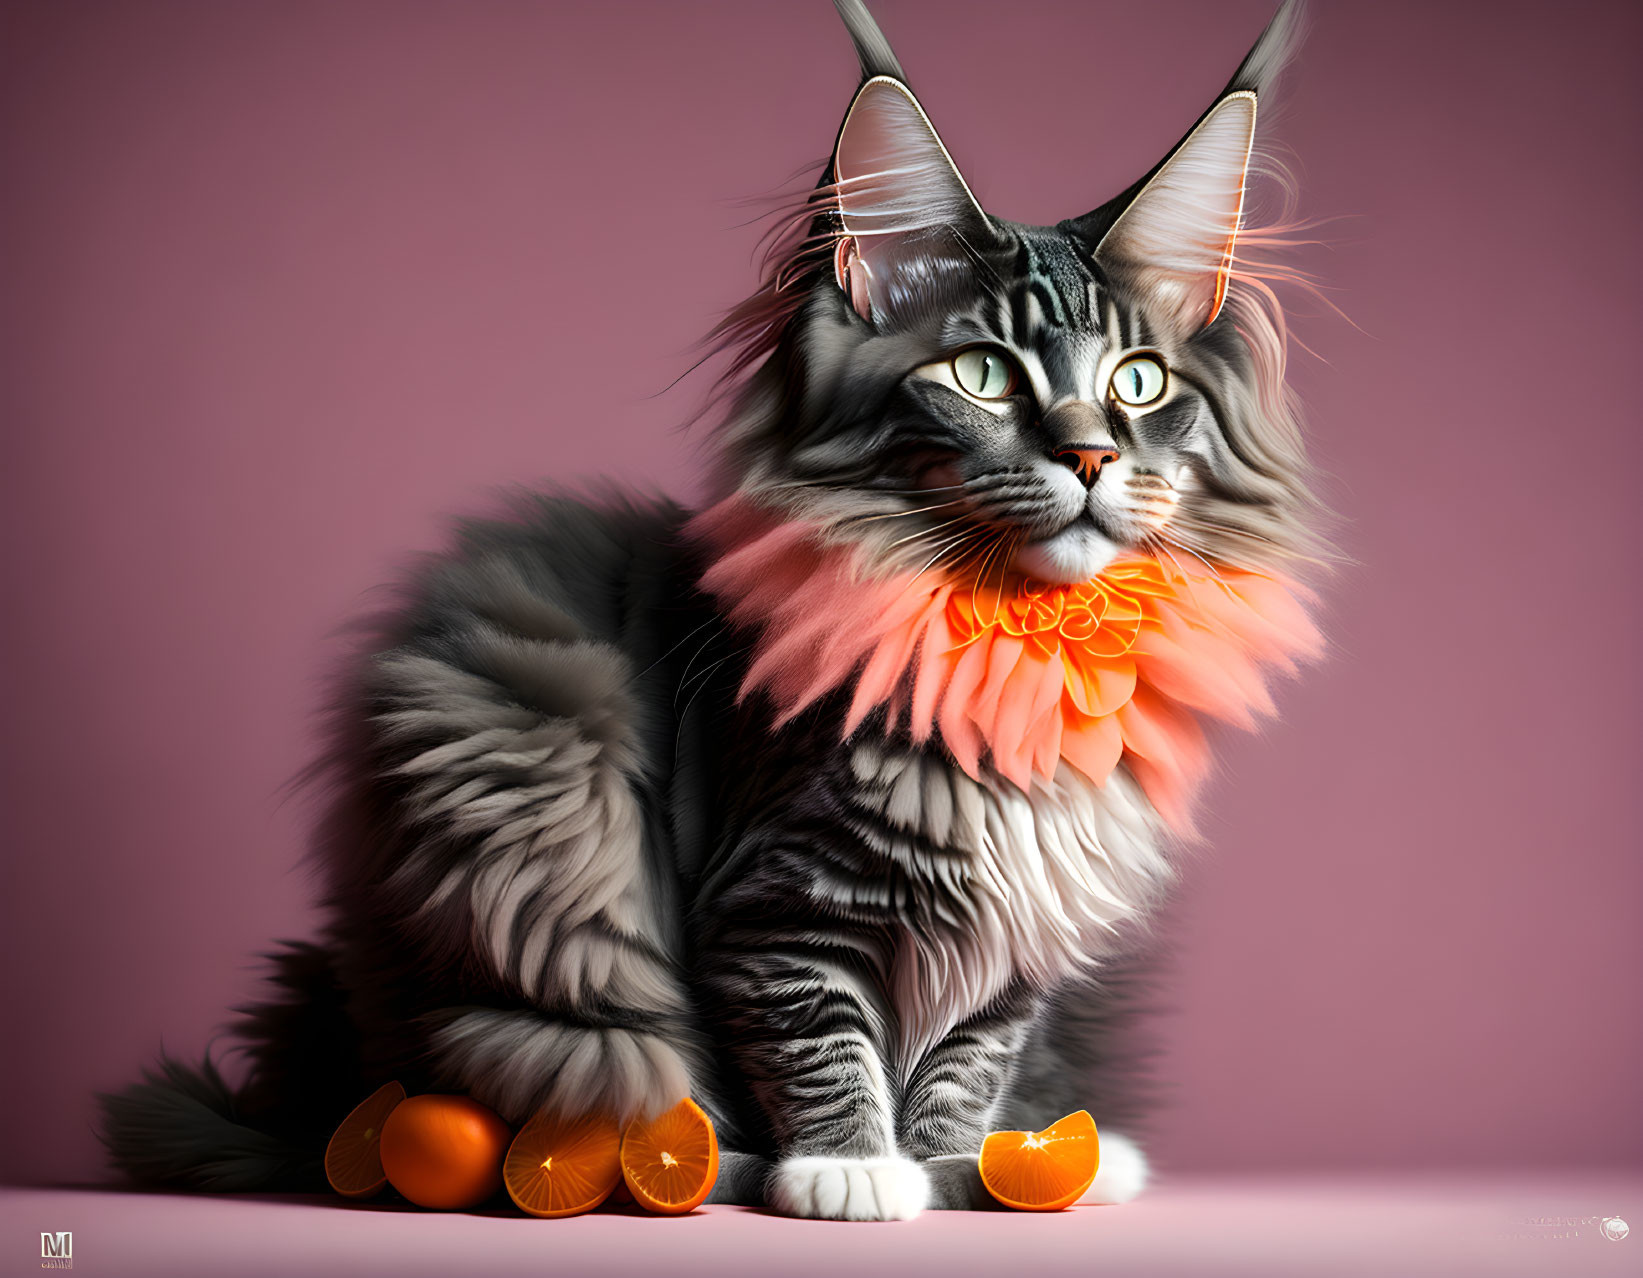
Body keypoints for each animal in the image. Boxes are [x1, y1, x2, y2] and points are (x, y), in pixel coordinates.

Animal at [102, 0, 1320, 1215]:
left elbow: (963, 1070)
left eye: (1138, 381)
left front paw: (962, 1170)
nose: (1090, 454)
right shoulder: (777, 902)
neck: (1011, 645)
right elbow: (815, 1039)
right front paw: (847, 1169)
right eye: (979, 373)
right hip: (528, 859)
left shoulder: (1012, 944)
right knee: (585, 1114)